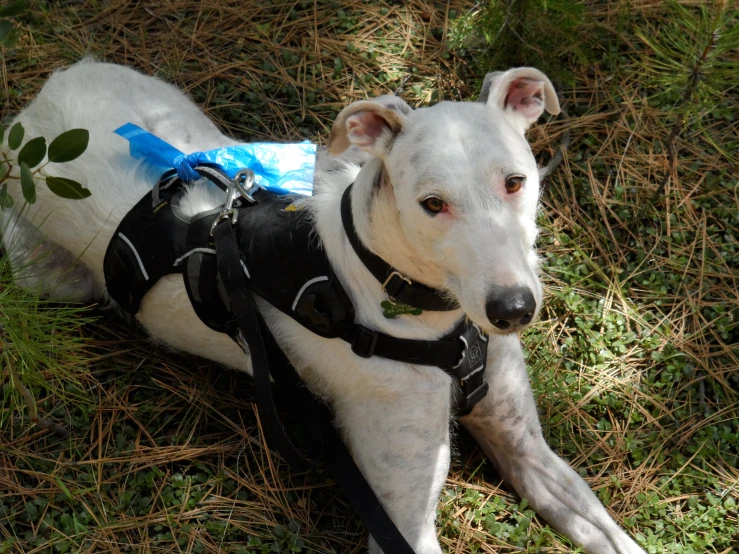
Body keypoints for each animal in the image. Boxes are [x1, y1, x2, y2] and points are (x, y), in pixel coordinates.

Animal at [1, 60, 648, 552]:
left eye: (516, 182)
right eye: (431, 203)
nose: (512, 309)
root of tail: (48, 94)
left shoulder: (526, 447)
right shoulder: (403, 519)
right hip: (43, 269)